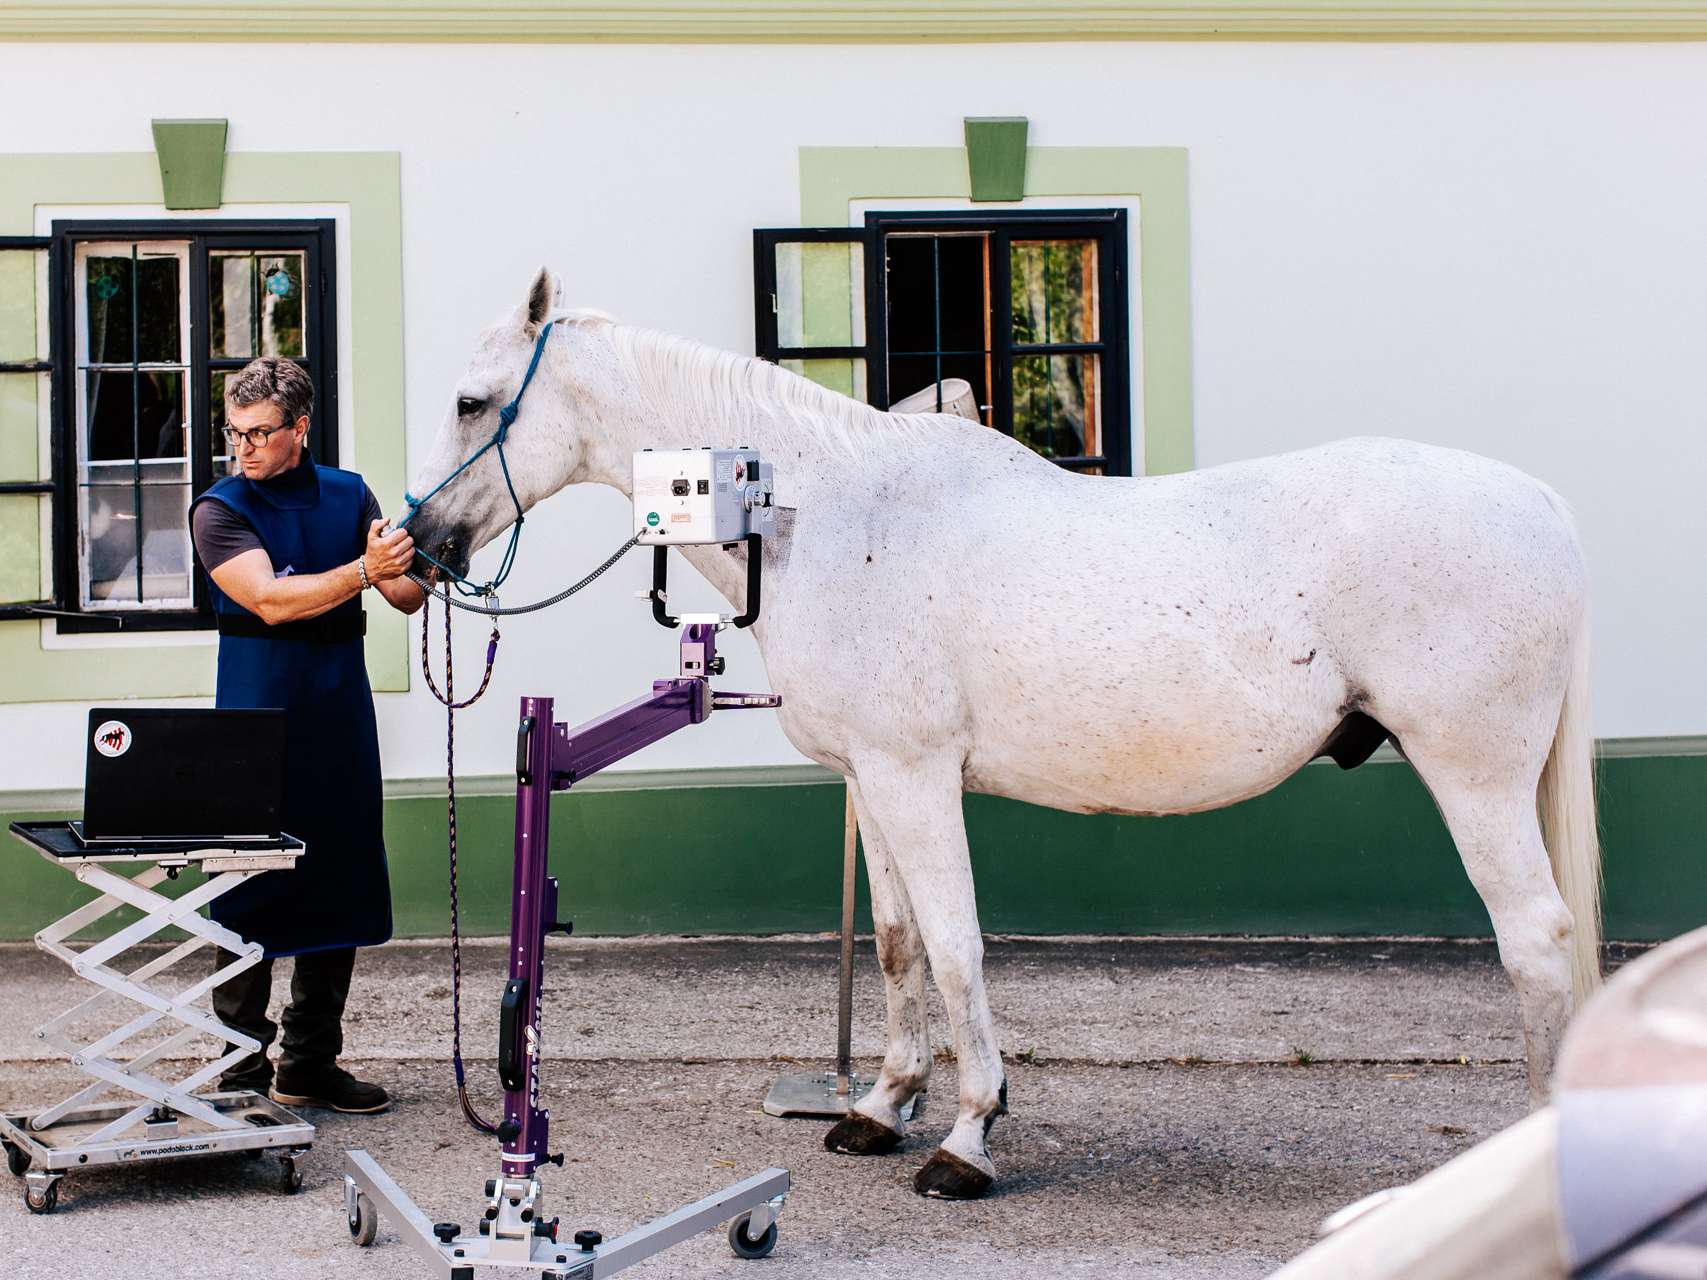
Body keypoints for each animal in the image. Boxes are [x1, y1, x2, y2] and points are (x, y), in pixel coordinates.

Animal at [401, 268, 1600, 1200]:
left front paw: (969, 1137)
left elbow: (958, 944)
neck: (823, 513)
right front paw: (882, 1107)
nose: (418, 544)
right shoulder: (872, 782)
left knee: (1537, 942)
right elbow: (900, 944)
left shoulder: (917, 777)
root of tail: (1545, 504)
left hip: (1474, 778)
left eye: (470, 401)